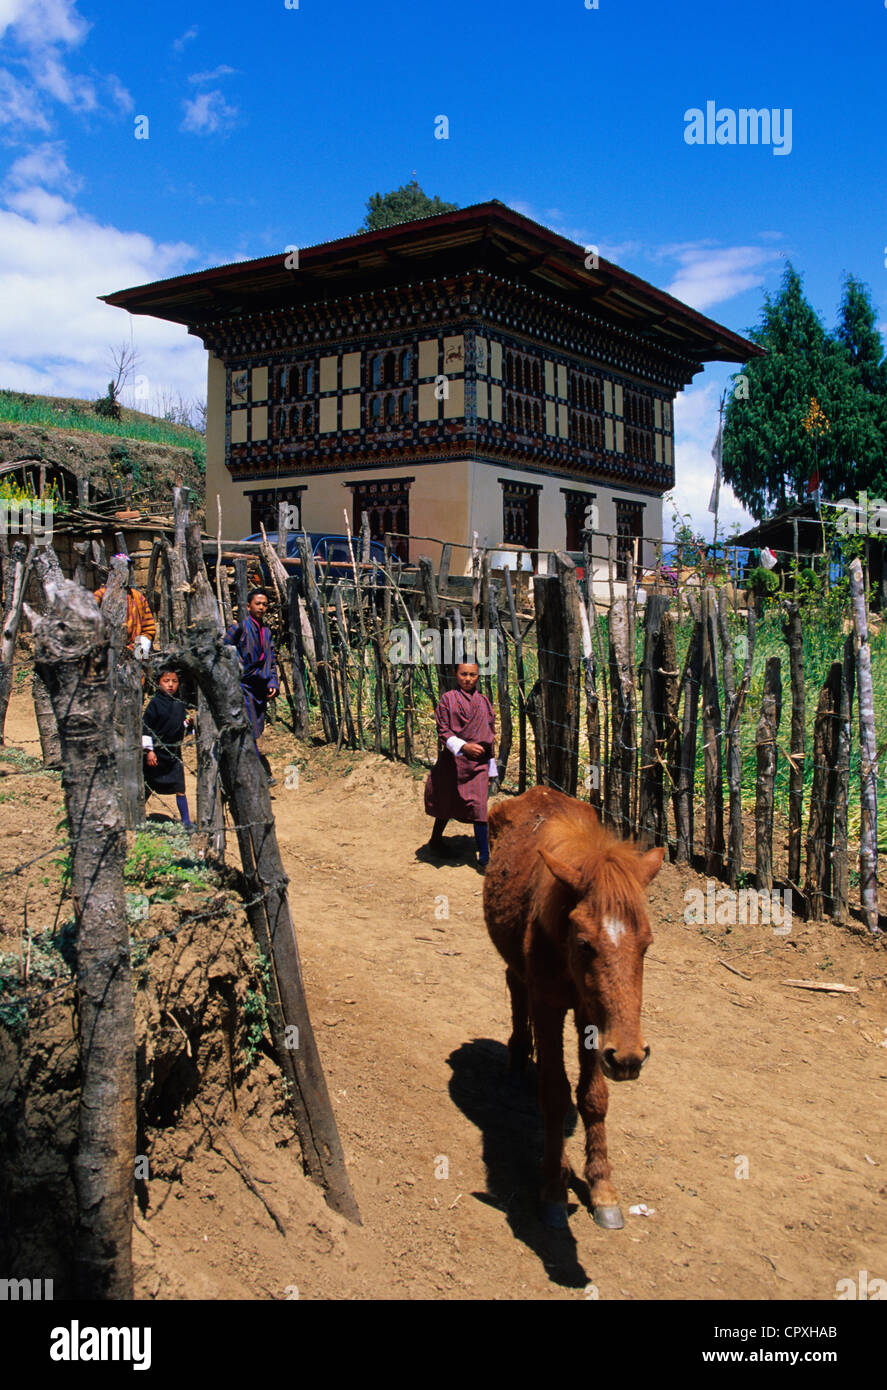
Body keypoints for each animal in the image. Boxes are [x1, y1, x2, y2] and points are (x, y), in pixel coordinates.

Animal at [483, 783, 664, 1228]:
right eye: (585, 943)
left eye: (646, 945)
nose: (629, 1057)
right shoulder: (548, 1006)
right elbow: (554, 1092)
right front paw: (553, 1187)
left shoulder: (591, 1017)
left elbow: (593, 1096)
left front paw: (602, 1188)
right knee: (515, 988)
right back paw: (517, 1058)